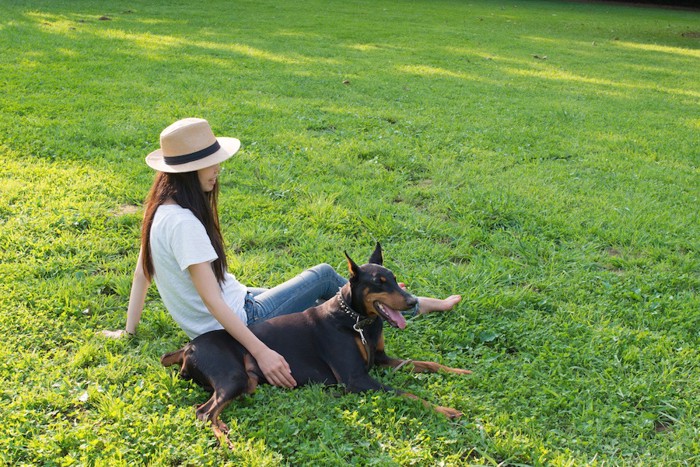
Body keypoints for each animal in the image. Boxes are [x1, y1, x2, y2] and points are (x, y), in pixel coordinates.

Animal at [161, 245, 474, 446]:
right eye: (380, 282)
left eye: (396, 279)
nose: (412, 302)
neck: (358, 322)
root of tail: (187, 348)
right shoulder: (355, 379)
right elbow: (407, 393)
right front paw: (446, 410)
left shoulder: (381, 359)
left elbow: (427, 363)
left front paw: (459, 372)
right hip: (233, 376)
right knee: (203, 412)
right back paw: (225, 438)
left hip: (247, 381)